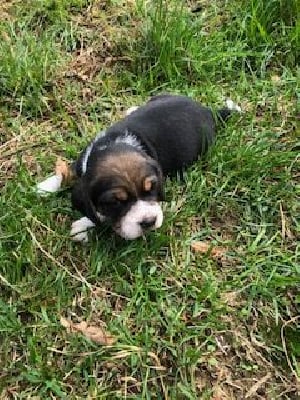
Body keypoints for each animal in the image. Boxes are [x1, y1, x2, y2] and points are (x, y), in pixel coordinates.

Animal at [36, 94, 240, 241]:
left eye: (152, 188)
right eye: (115, 202)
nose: (149, 222)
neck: (114, 145)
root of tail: (208, 110)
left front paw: (82, 226)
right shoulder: (82, 160)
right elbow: (67, 172)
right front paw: (45, 187)